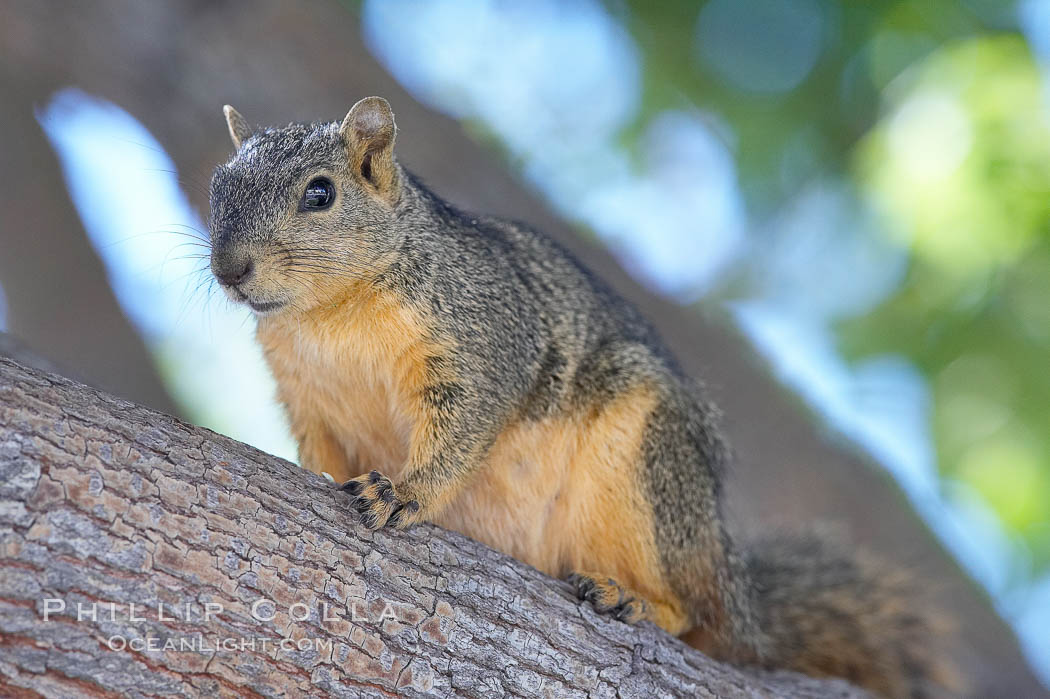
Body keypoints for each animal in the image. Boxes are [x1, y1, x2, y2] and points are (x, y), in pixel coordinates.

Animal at [208, 95, 957, 692]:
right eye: (218, 187)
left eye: (320, 194)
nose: (229, 269)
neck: (326, 315)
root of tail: (731, 578)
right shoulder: (306, 396)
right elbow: (320, 448)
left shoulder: (486, 344)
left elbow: (463, 430)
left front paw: (406, 492)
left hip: (643, 475)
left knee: (696, 614)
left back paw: (634, 601)